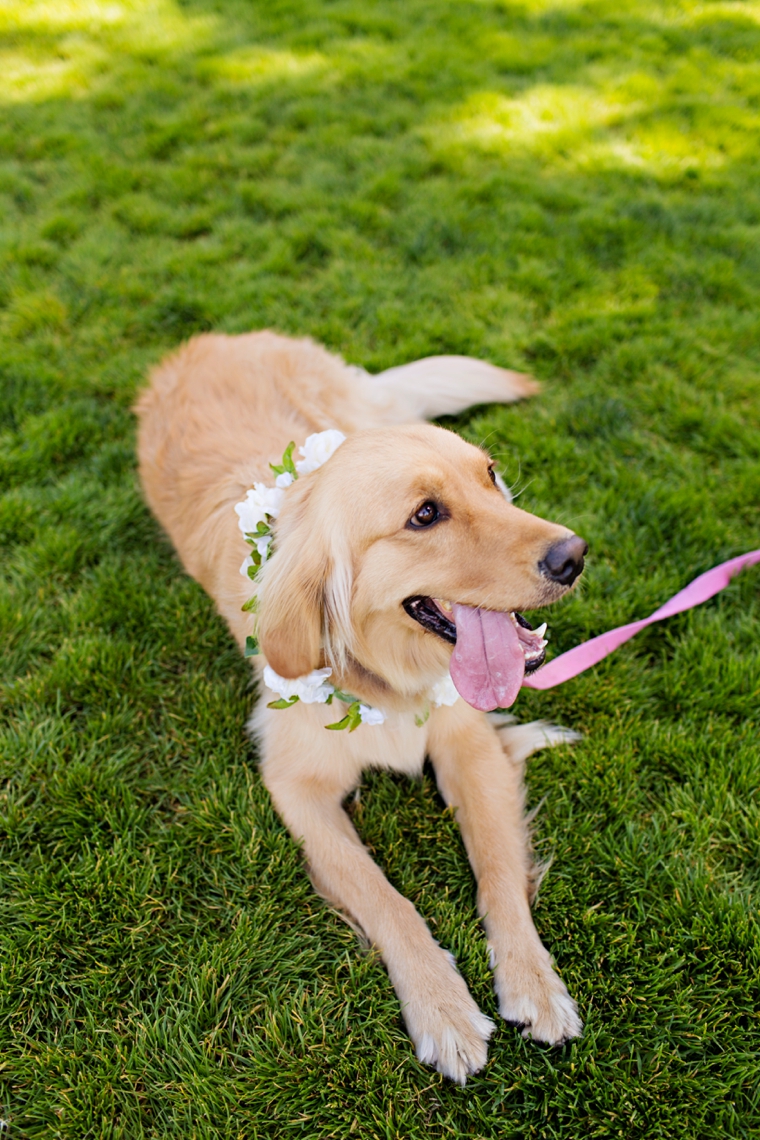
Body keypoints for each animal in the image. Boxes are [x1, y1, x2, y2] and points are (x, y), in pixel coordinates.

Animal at [135, 332, 587, 1085]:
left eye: (490, 476)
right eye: (425, 515)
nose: (573, 555)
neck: (386, 679)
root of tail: (207, 342)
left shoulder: (467, 741)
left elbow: (497, 867)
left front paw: (533, 982)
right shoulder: (296, 789)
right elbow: (386, 899)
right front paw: (443, 1009)